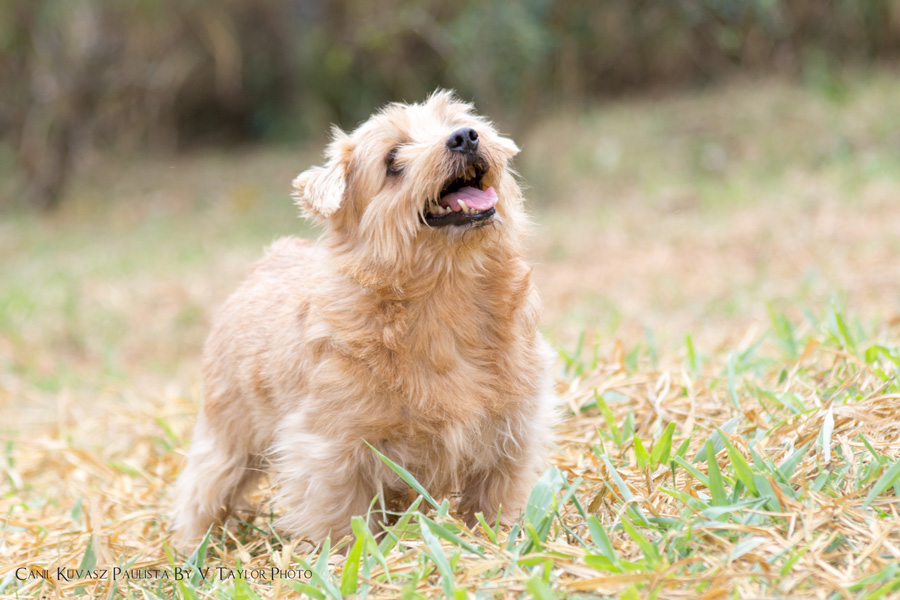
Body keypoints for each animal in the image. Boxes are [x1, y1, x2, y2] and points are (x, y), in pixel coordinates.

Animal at [172, 90, 556, 544]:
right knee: (201, 490)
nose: (465, 137)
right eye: (393, 159)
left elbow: (496, 500)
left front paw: (501, 539)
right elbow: (342, 520)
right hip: (228, 436)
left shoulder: (513, 429)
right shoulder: (330, 449)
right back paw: (193, 545)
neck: (444, 296)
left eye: (458, 122)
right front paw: (349, 555)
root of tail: (273, 256)